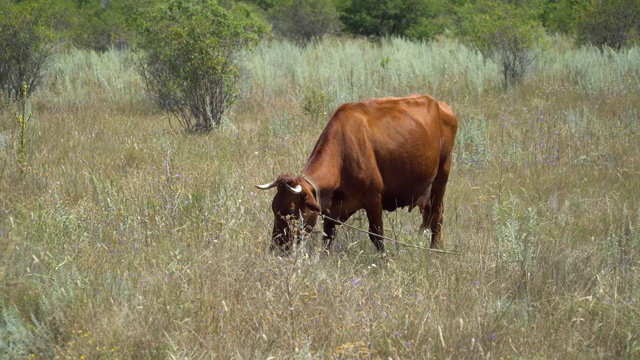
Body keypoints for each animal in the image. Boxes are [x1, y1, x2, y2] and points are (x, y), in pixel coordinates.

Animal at [255, 94, 456, 255]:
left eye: (290, 211)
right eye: (273, 208)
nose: (275, 249)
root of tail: (438, 103)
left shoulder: (374, 198)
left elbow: (377, 236)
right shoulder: (331, 210)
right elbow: (328, 237)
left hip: (442, 176)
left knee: (436, 217)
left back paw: (434, 251)